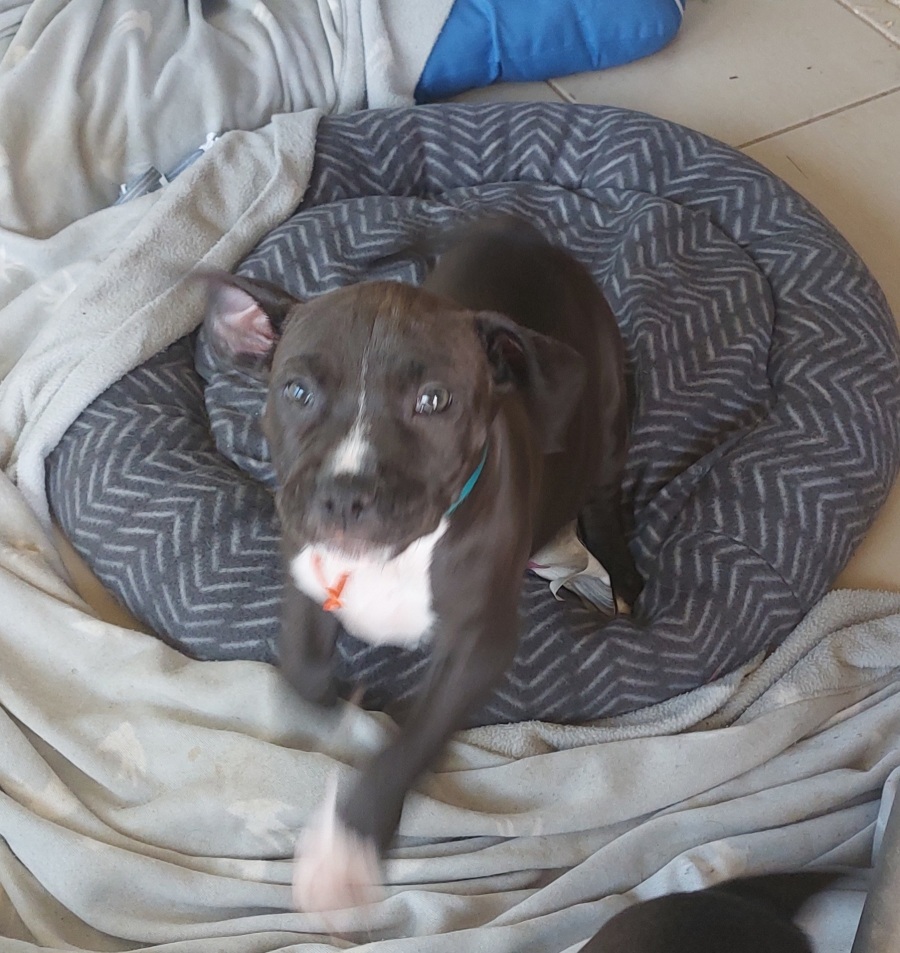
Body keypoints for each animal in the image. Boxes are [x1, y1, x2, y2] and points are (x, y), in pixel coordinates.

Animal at [201, 216, 641, 912]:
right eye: (295, 391)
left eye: (434, 401)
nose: (344, 495)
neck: (403, 554)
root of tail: (523, 235)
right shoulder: (304, 563)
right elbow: (301, 668)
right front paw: (342, 699)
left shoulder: (481, 643)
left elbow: (411, 742)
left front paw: (345, 847)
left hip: (605, 412)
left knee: (602, 494)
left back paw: (621, 575)